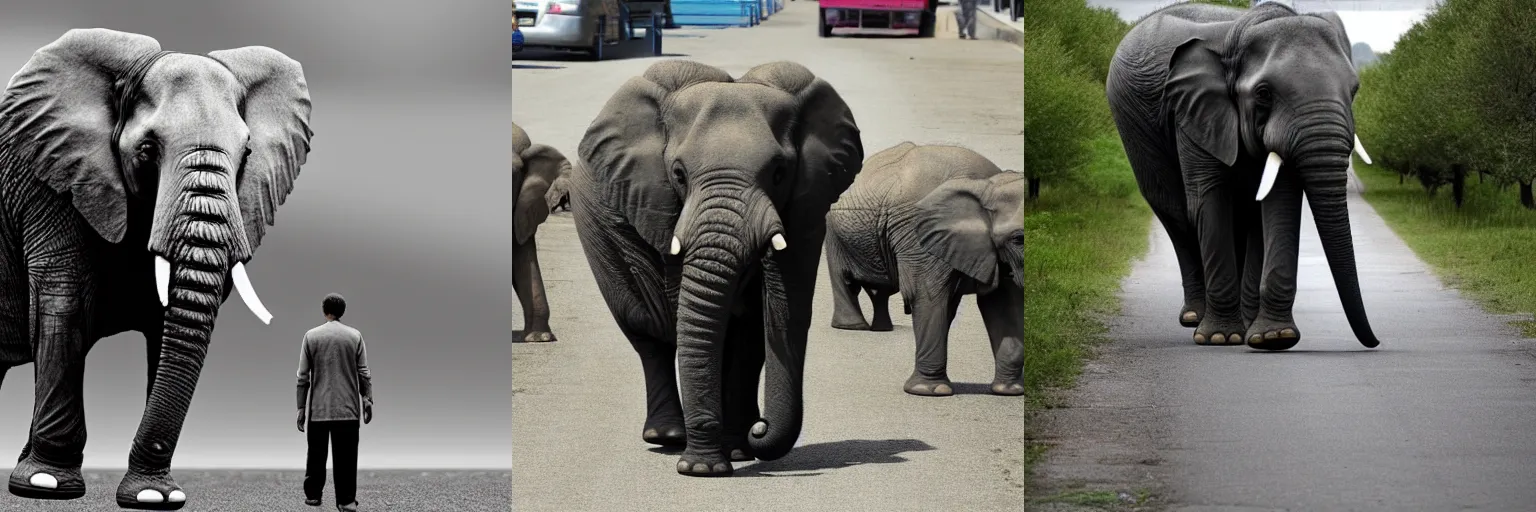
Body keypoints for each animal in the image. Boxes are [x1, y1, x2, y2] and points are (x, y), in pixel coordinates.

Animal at [0, 29, 311, 507]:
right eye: (147, 151)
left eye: (247, 152)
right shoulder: (51, 182)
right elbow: (65, 301)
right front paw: (44, 486)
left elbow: (169, 323)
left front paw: (153, 496)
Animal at [574, 58, 866, 473]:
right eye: (678, 174)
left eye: (779, 172)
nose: (761, 428)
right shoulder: (661, 204)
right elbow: (693, 313)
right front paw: (703, 470)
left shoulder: (809, 201)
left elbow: (757, 326)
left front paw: (733, 452)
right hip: (600, 233)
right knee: (646, 330)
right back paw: (668, 437)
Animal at [823, 141, 1026, 396]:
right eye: (1019, 239)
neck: (985, 185)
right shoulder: (917, 235)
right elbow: (926, 296)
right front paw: (931, 391)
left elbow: (1003, 303)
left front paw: (1009, 390)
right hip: (834, 234)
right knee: (844, 280)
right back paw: (853, 327)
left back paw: (882, 328)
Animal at [1105, 0, 1382, 350]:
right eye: (1263, 93)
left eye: (1354, 90)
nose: (1374, 342)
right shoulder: (1193, 111)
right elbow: (1209, 200)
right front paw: (1221, 337)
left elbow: (1277, 205)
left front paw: (1272, 337)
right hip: (1132, 121)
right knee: (1175, 213)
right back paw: (1195, 318)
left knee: (1243, 217)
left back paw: (1244, 322)